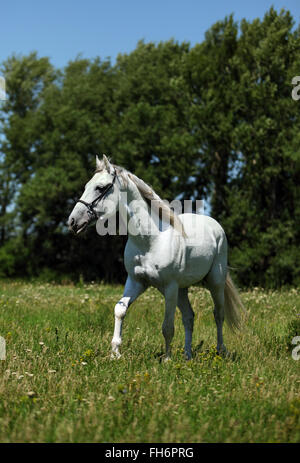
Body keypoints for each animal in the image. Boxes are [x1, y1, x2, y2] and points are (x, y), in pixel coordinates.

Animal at [68, 154, 244, 360]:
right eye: (87, 185)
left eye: (101, 187)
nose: (72, 222)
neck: (150, 241)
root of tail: (215, 225)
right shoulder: (136, 282)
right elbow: (120, 310)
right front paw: (115, 353)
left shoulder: (169, 287)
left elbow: (167, 326)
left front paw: (167, 359)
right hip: (182, 290)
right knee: (189, 317)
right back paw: (187, 356)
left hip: (215, 282)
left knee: (218, 314)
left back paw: (220, 351)